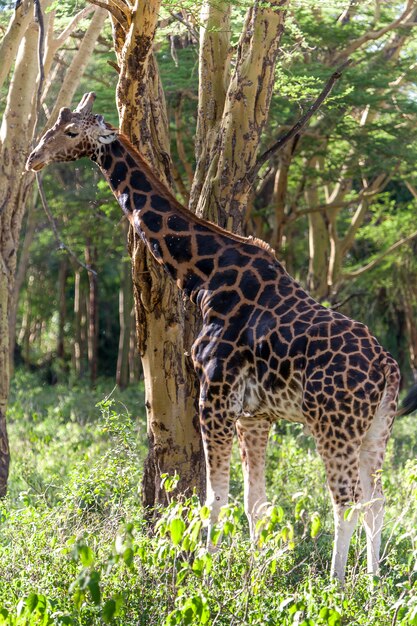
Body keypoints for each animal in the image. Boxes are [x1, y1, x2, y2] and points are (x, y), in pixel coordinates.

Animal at [26, 91, 416, 580]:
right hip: (377, 426)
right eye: (51, 128)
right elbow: (255, 503)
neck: (203, 277)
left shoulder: (214, 393)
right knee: (376, 501)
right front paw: (255, 574)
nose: (33, 158)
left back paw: (336, 586)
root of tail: (388, 367)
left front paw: (207, 573)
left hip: (334, 425)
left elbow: (215, 498)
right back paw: (373, 582)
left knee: (345, 502)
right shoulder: (255, 414)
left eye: (71, 131)